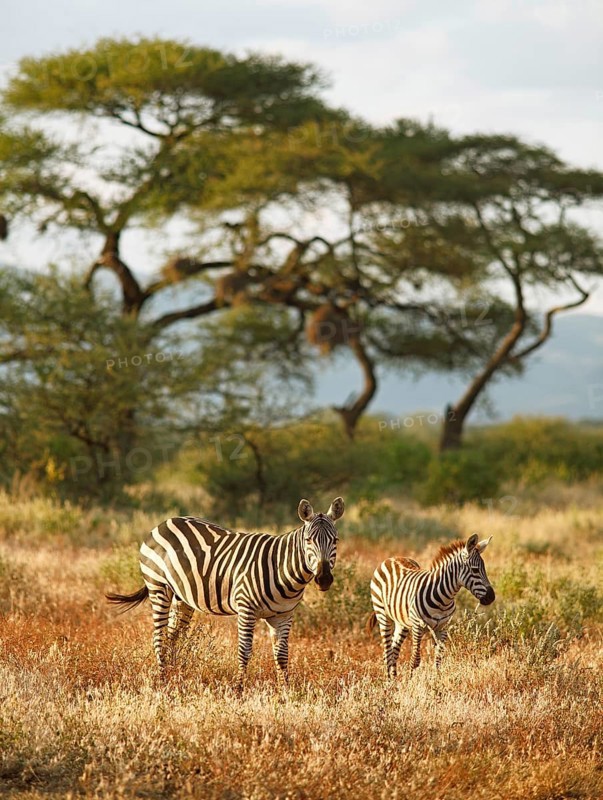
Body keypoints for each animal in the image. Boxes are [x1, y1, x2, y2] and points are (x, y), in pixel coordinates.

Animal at [106, 497, 345, 688]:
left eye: (335, 540)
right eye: (308, 541)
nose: (324, 579)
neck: (281, 568)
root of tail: (164, 522)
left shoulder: (284, 615)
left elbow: (282, 654)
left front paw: (286, 691)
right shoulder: (246, 608)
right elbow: (245, 650)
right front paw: (238, 689)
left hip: (182, 597)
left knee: (173, 636)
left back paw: (175, 676)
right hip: (158, 587)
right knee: (159, 636)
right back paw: (162, 680)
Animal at [368, 534, 494, 677]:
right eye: (475, 570)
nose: (491, 597)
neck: (443, 599)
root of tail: (391, 558)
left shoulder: (443, 627)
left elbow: (439, 659)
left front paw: (438, 680)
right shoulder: (417, 626)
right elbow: (415, 660)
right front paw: (411, 682)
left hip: (402, 622)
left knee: (394, 650)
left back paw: (394, 679)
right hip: (382, 614)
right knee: (387, 652)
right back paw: (388, 680)